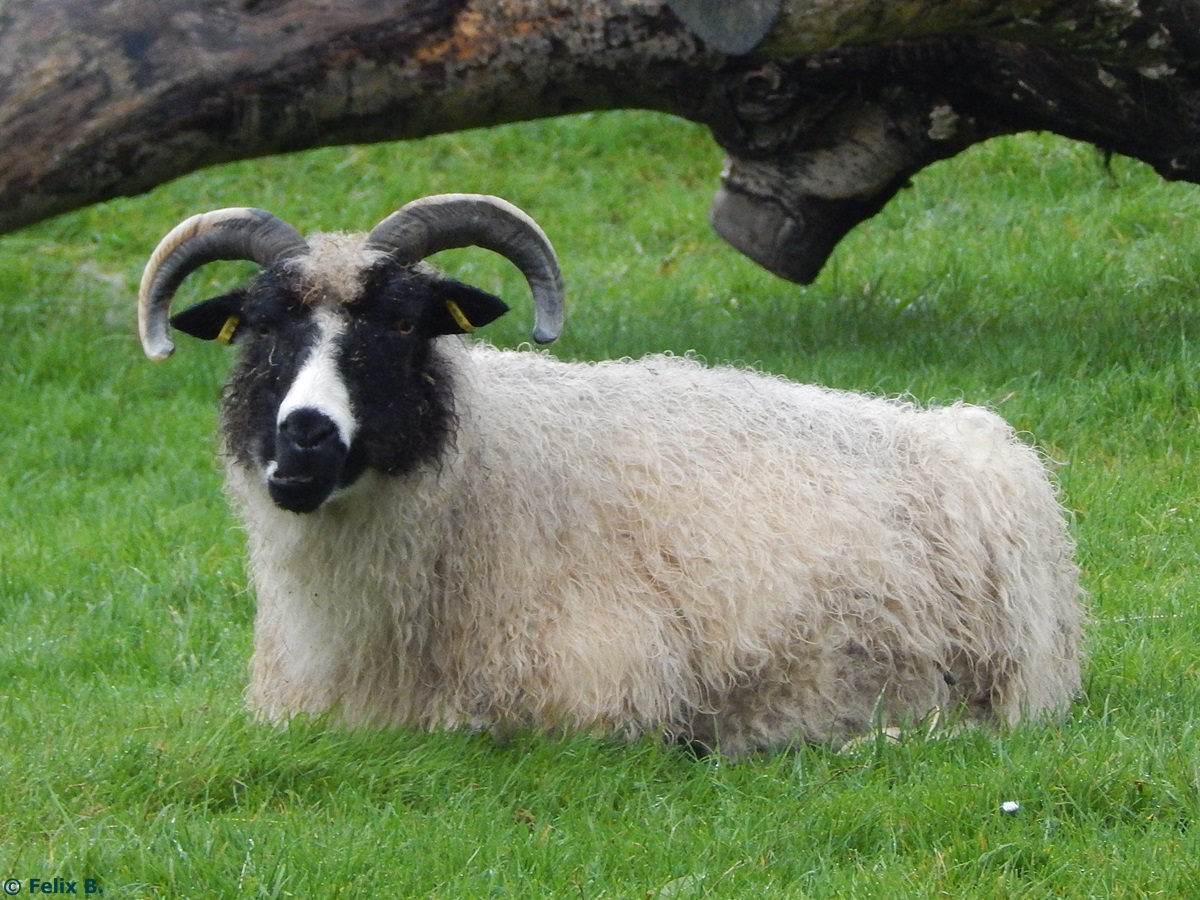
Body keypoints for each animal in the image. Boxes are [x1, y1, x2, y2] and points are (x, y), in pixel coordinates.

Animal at [136, 194, 1084, 758]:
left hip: (993, 687)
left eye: (403, 324)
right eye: (260, 328)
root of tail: (982, 438)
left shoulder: (597, 695)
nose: (302, 441)